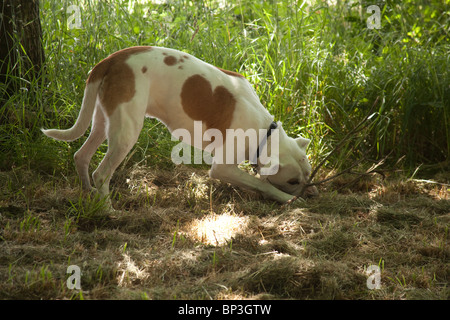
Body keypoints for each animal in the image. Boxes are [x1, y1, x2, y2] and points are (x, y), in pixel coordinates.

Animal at [41, 47, 316, 208]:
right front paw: (287, 199)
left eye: (309, 174)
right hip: (126, 133)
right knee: (101, 173)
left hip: (101, 121)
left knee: (81, 156)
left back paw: (88, 194)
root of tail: (110, 60)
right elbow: (262, 184)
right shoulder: (223, 168)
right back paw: (108, 210)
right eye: (292, 181)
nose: (312, 194)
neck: (264, 131)